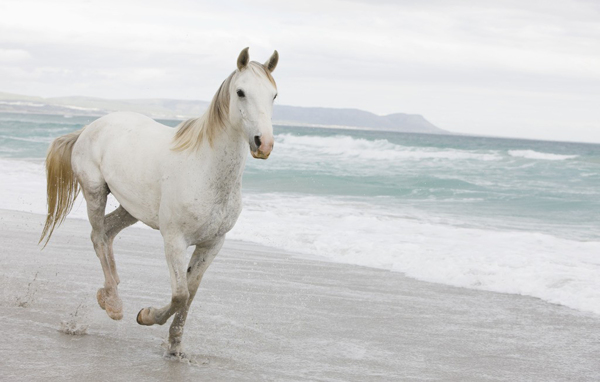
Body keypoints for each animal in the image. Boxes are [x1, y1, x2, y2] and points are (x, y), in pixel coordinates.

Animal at [39, 47, 278, 356]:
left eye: (274, 95)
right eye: (241, 92)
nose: (264, 144)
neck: (204, 168)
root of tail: (90, 127)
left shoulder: (212, 244)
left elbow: (191, 293)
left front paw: (175, 345)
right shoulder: (174, 240)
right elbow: (180, 294)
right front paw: (146, 315)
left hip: (131, 209)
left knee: (107, 232)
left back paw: (109, 291)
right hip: (95, 192)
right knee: (98, 236)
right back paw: (114, 304)